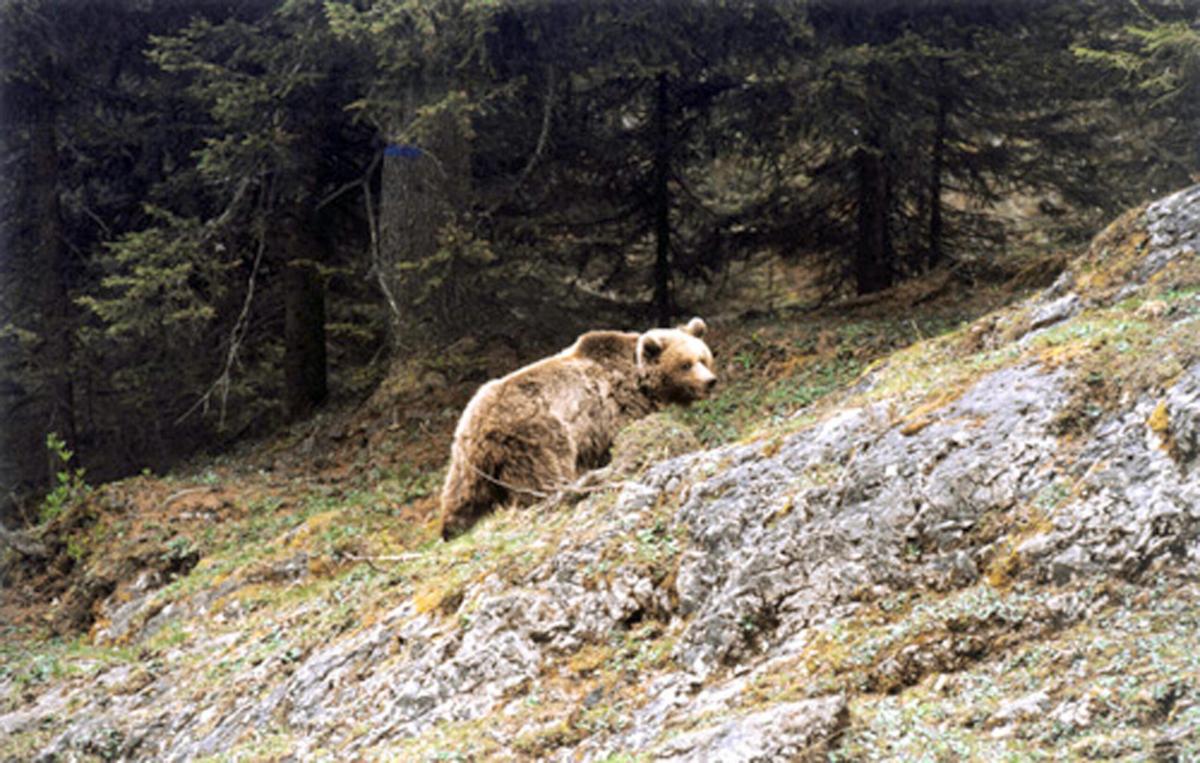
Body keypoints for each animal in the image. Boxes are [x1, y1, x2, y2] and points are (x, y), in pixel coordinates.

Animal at [444, 319, 715, 539]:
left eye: (703, 358)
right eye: (685, 364)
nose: (710, 382)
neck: (640, 380)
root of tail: (481, 422)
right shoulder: (615, 409)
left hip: (467, 459)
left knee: (463, 494)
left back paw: (452, 528)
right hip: (537, 435)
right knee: (543, 476)